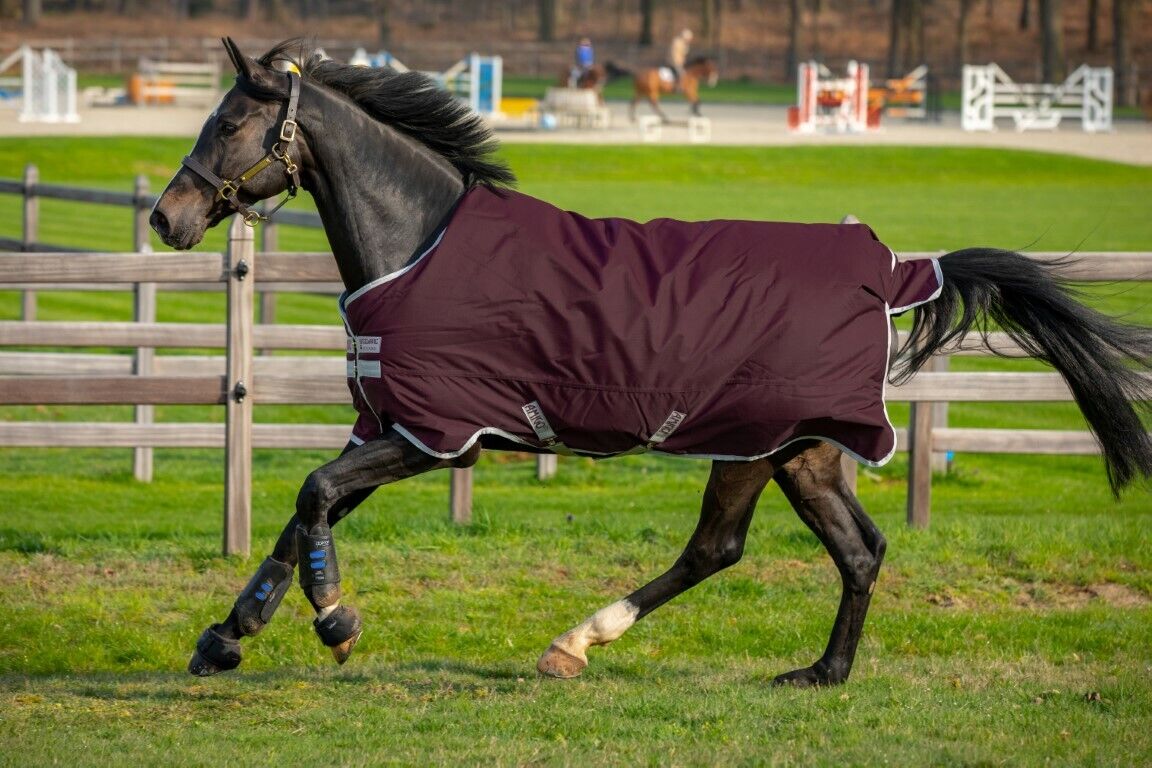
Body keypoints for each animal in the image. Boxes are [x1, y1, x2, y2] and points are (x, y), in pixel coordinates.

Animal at [150, 39, 1152, 687]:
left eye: (231, 119)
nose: (167, 217)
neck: (422, 245)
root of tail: (893, 266)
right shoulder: (393, 429)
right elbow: (302, 513)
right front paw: (226, 637)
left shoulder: (440, 436)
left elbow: (314, 493)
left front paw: (335, 622)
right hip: (802, 449)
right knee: (855, 550)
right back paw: (818, 671)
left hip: (752, 442)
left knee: (720, 547)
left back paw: (579, 642)